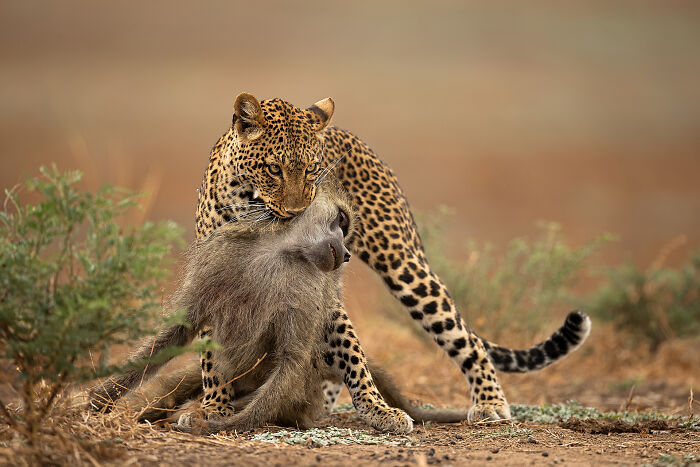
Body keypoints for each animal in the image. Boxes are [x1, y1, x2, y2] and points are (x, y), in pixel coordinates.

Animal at [193, 92, 592, 422]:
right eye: (273, 169)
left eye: (312, 170)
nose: (296, 213)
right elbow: (212, 352)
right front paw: (213, 407)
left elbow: (354, 353)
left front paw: (379, 410)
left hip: (402, 264)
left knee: (469, 339)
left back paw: (490, 403)